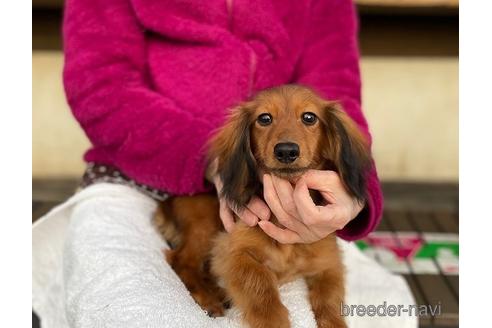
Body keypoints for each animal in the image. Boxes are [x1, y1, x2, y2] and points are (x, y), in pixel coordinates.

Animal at [156, 85, 370, 328]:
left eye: (309, 117)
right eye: (264, 118)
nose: (286, 151)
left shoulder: (329, 264)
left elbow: (330, 301)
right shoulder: (232, 252)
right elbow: (261, 287)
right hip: (205, 222)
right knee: (182, 261)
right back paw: (209, 297)